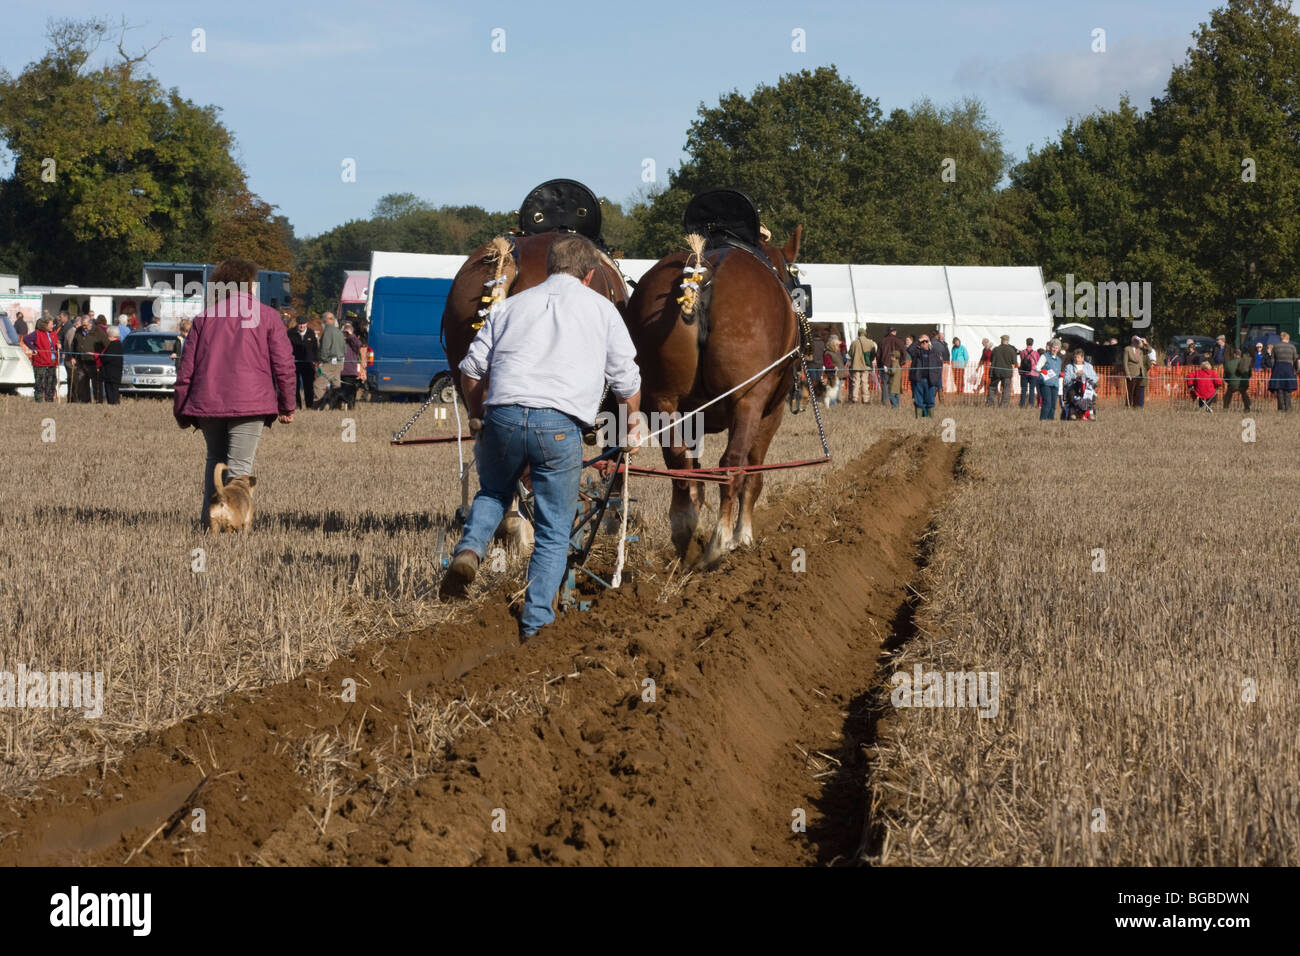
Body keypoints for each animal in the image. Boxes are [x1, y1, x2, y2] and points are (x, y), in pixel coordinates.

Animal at [621, 223, 800, 567]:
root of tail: (702, 275)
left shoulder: (691, 416)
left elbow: (694, 468)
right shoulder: (770, 412)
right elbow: (753, 474)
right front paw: (744, 535)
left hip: (660, 399)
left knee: (678, 461)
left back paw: (684, 530)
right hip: (748, 400)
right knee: (733, 465)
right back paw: (720, 541)